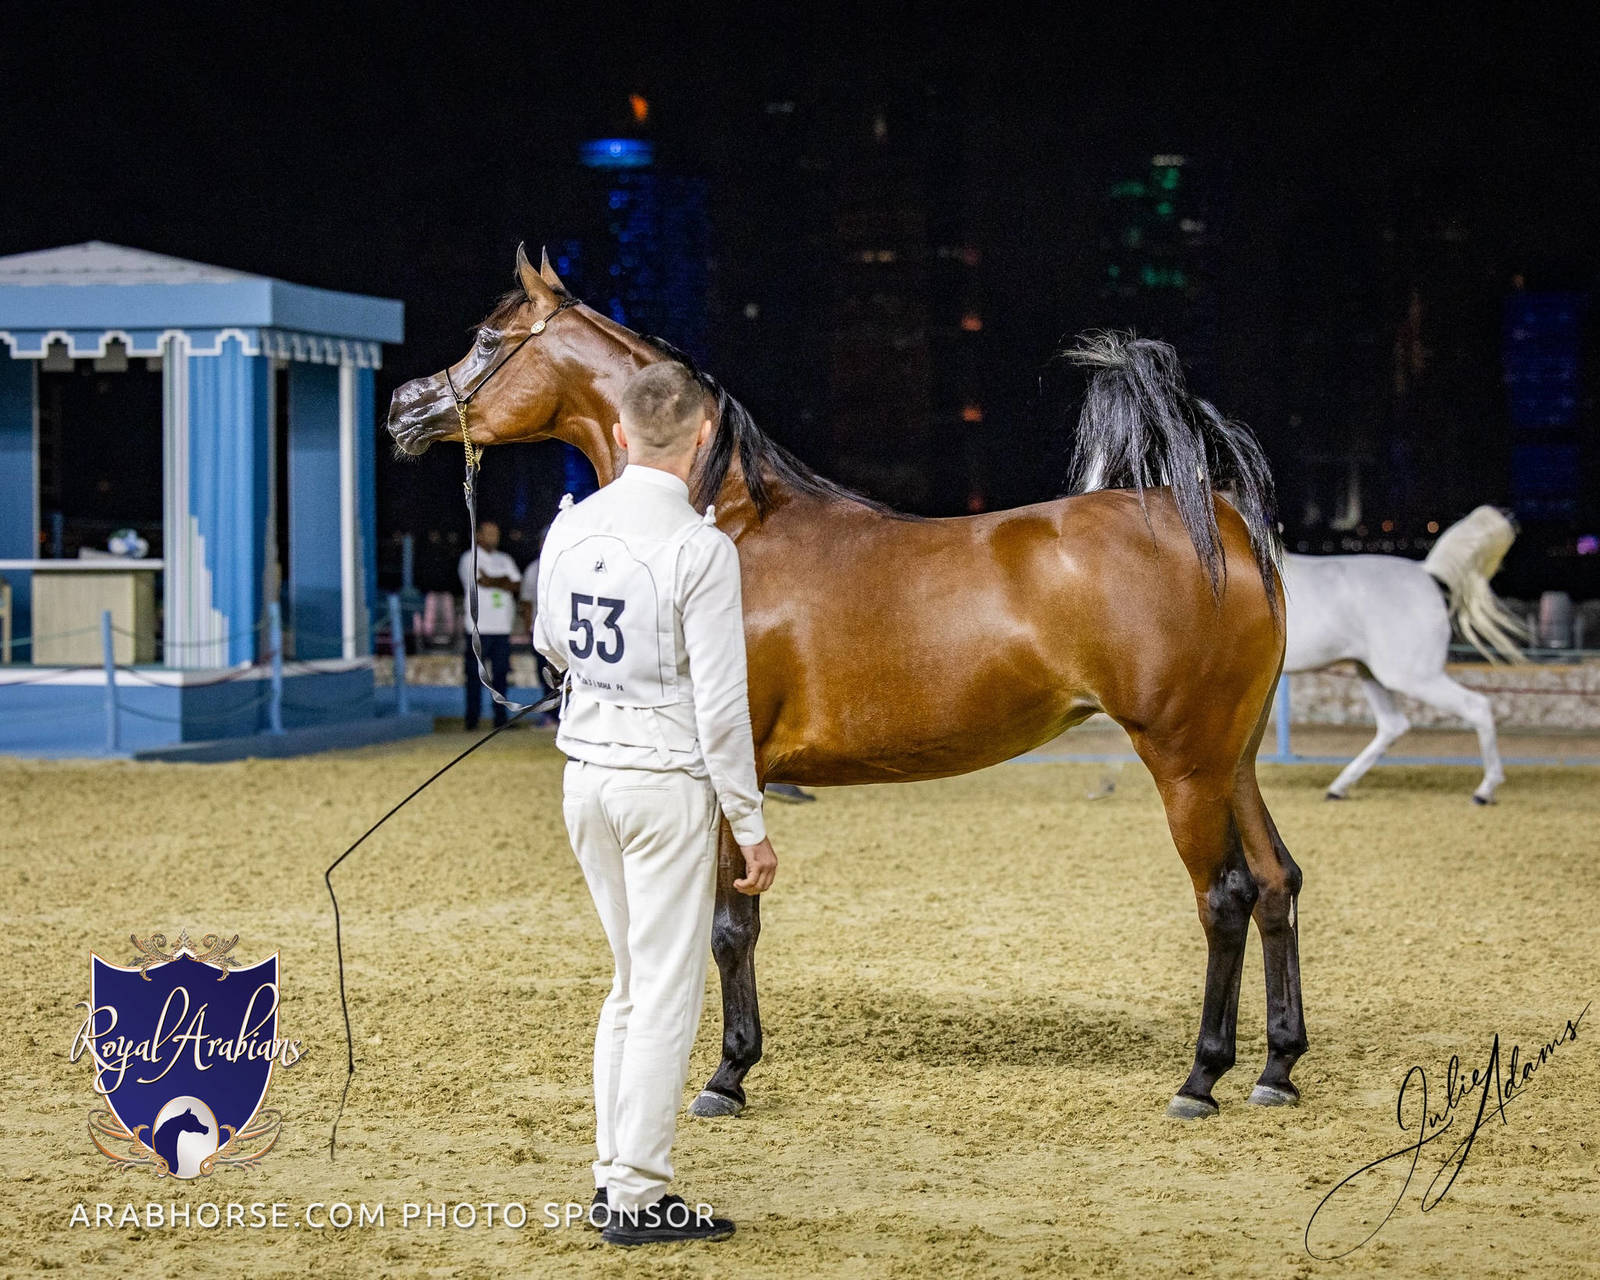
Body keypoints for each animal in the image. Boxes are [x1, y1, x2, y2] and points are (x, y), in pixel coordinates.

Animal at [388, 245, 1303, 1121]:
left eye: (488, 340)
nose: (404, 408)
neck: (729, 525)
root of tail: (1216, 517)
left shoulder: (733, 769)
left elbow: (730, 927)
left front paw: (726, 1076)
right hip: (1232, 762)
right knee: (1276, 883)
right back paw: (1277, 1069)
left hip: (1184, 764)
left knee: (1223, 898)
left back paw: (1201, 1079)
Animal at [1283, 506, 1527, 803]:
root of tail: (1426, 572)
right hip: (1371, 672)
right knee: (1393, 724)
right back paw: (1338, 788)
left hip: (1411, 675)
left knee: (1476, 706)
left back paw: (1484, 791)